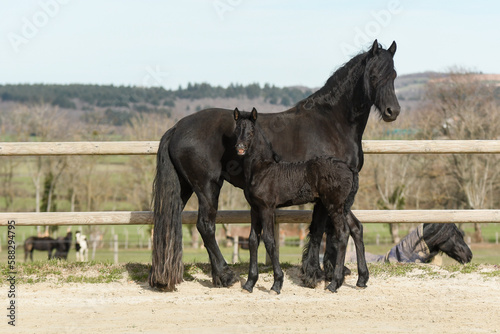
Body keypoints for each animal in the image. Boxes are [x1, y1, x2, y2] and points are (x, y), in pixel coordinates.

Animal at [234, 108, 360, 294]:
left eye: (250, 132)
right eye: (236, 130)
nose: (240, 148)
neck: (262, 170)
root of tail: (349, 168)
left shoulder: (267, 208)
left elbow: (270, 241)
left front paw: (276, 284)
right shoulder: (254, 209)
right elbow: (252, 240)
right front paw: (249, 284)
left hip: (334, 205)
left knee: (343, 233)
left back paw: (334, 283)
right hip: (342, 205)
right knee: (353, 229)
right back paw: (360, 280)